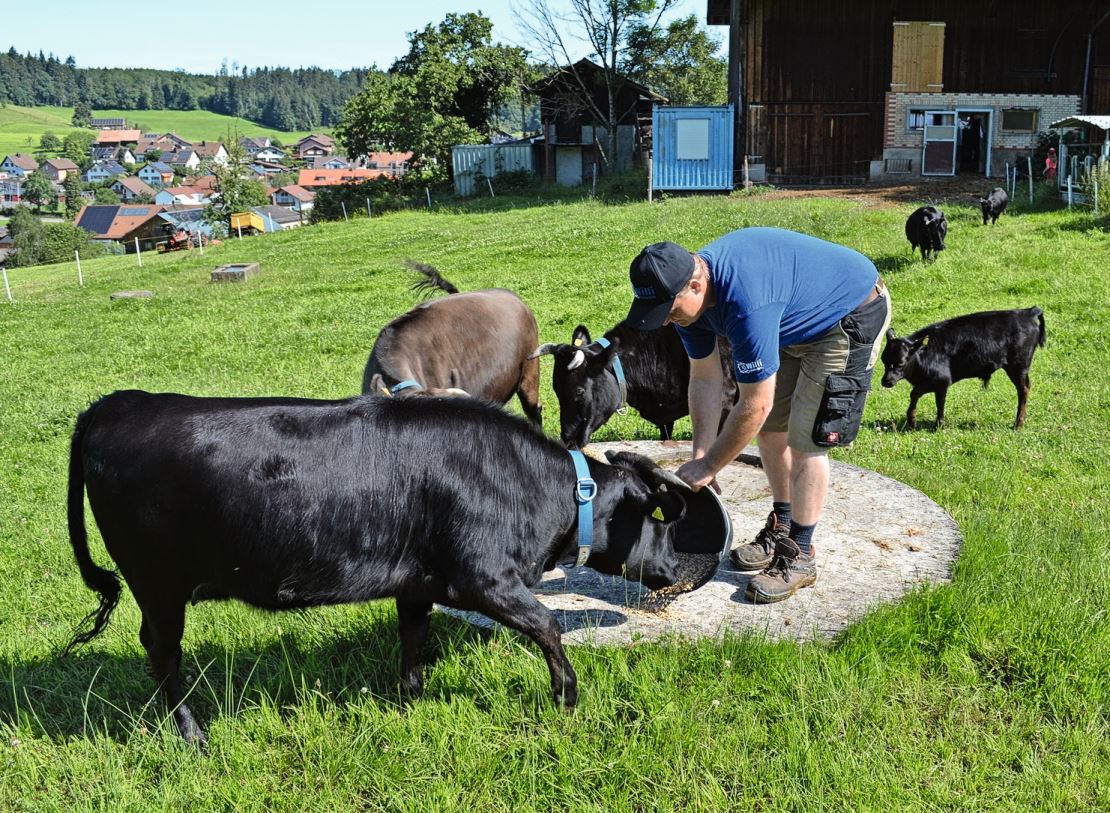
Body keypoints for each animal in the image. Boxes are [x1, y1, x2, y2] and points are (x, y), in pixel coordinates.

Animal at [64, 390, 688, 746]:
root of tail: (112, 403)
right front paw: (567, 697)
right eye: (657, 516)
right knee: (162, 655)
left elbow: (413, 639)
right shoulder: (482, 576)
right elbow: (548, 627)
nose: (679, 564)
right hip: (157, 584)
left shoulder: (418, 582)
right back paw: (192, 734)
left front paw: (409, 701)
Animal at [879, 306, 1043, 430]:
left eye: (900, 363)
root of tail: (1027, 312)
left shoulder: (942, 381)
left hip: (1018, 366)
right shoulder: (927, 383)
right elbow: (914, 395)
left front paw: (939, 426)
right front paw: (912, 420)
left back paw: (1018, 424)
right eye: (883, 360)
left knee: (1023, 390)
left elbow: (938, 403)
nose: (886, 381)